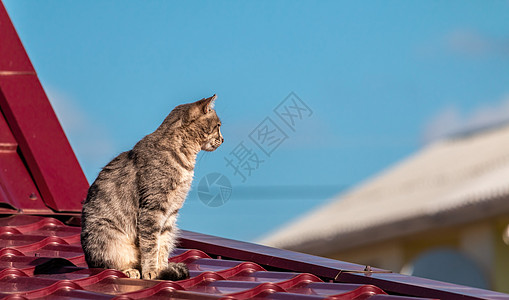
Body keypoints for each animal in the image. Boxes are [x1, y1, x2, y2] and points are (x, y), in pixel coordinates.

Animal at [80, 95, 222, 280]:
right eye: (218, 126)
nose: (223, 139)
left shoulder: (170, 213)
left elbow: (162, 245)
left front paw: (162, 269)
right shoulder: (152, 208)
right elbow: (150, 245)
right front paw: (151, 271)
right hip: (107, 236)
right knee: (107, 264)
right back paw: (129, 270)